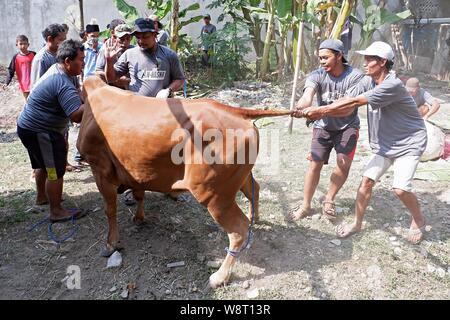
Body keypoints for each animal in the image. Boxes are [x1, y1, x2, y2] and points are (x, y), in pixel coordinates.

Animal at [77, 76, 292, 288]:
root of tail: (237, 112)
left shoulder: (100, 171)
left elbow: (110, 210)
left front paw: (111, 243)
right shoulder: (135, 170)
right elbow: (139, 195)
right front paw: (139, 218)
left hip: (213, 195)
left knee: (239, 230)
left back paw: (220, 276)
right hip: (240, 178)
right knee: (254, 191)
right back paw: (255, 218)